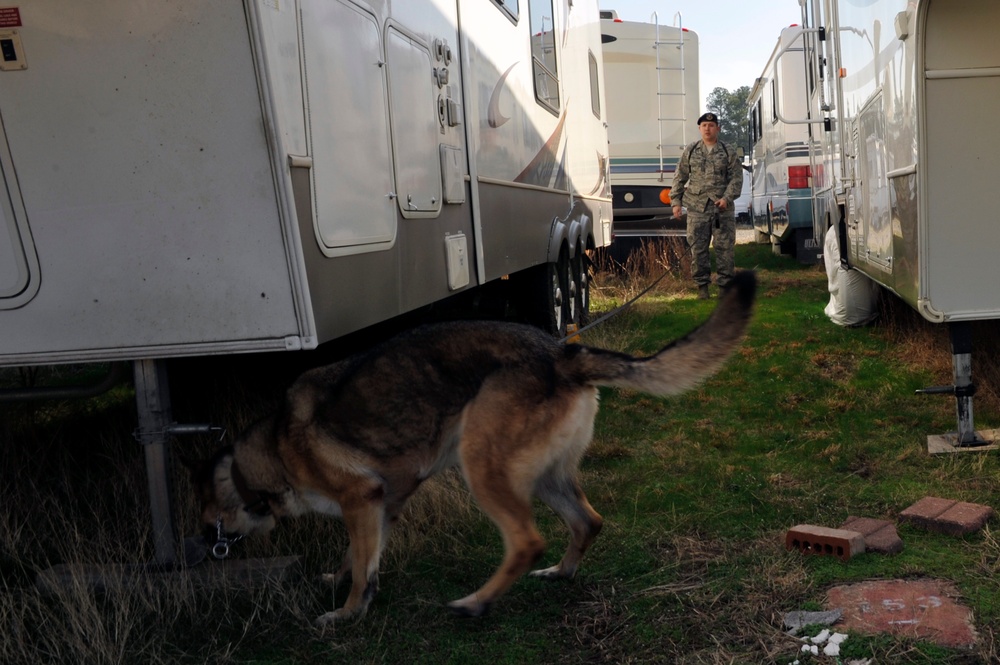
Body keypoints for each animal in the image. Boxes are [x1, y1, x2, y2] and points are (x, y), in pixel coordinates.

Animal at [188, 270, 752, 624]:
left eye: (206, 517)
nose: (200, 548)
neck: (269, 454)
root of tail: (562, 353)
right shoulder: (381, 505)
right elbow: (360, 558)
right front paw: (345, 583)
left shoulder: (359, 500)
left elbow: (361, 569)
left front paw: (347, 612)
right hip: (547, 476)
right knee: (588, 522)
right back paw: (562, 573)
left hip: (480, 467)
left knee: (527, 540)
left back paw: (477, 603)